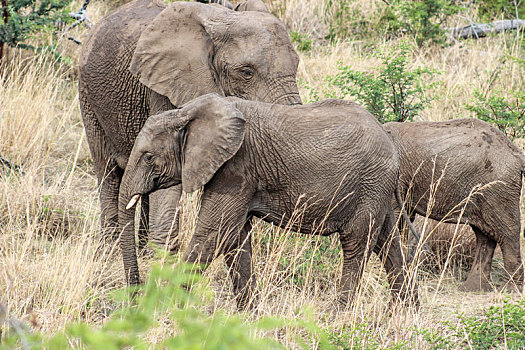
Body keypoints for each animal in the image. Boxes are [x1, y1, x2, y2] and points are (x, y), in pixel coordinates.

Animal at [77, 0, 298, 252]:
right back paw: (109, 251)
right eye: (246, 72)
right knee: (108, 173)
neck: (220, 20)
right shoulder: (165, 88)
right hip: (88, 98)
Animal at [119, 93, 418, 308]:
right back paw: (403, 313)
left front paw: (164, 309)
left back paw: (337, 315)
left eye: (148, 157)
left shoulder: (235, 168)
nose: (134, 300)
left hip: (370, 183)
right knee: (387, 243)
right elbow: (236, 240)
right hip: (376, 189)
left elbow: (213, 234)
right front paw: (248, 317)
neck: (186, 112)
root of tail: (390, 143)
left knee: (356, 245)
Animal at [384, 117, 524, 292]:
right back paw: (472, 288)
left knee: (507, 233)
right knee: (484, 234)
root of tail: (517, 154)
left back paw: (510, 289)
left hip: (499, 187)